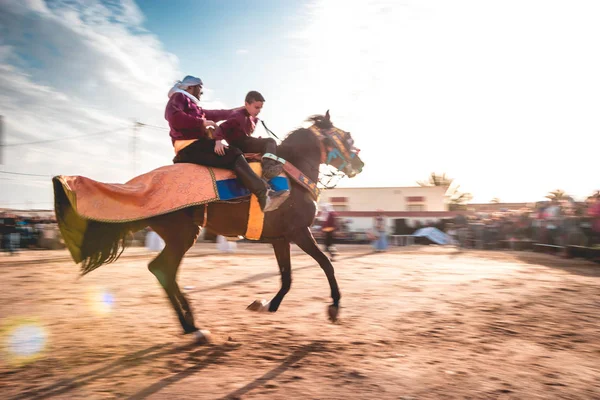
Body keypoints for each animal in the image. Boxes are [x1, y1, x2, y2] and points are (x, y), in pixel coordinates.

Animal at [52, 111, 360, 340]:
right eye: (347, 137)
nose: (361, 164)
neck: (292, 173)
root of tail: (138, 186)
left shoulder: (280, 238)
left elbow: (287, 278)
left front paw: (265, 305)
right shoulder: (300, 233)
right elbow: (326, 265)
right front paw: (334, 307)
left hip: (183, 235)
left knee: (163, 271)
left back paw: (190, 323)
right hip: (182, 235)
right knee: (162, 269)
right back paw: (192, 326)